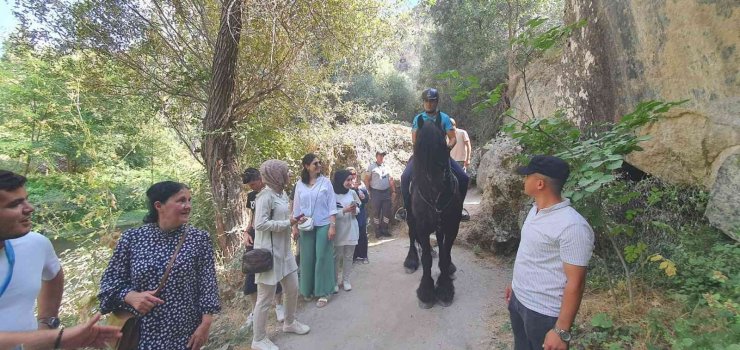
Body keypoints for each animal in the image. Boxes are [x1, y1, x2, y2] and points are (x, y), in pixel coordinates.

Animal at [402, 118, 466, 308]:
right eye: (420, 147)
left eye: (442, 143)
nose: (442, 181)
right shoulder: (422, 227)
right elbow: (426, 260)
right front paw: (426, 291)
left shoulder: (452, 226)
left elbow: (445, 255)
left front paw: (445, 289)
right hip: (411, 218)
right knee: (412, 235)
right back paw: (411, 260)